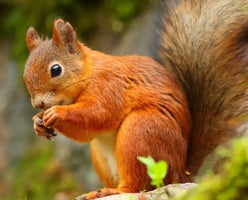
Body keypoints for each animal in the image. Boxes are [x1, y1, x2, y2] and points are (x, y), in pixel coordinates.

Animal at [22, 0, 248, 198]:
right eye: (25, 74)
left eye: (56, 70)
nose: (38, 104)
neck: (88, 73)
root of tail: (180, 172)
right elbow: (85, 133)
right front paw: (37, 122)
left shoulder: (109, 88)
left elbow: (100, 113)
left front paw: (56, 113)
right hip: (103, 153)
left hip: (141, 131)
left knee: (137, 186)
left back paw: (112, 191)